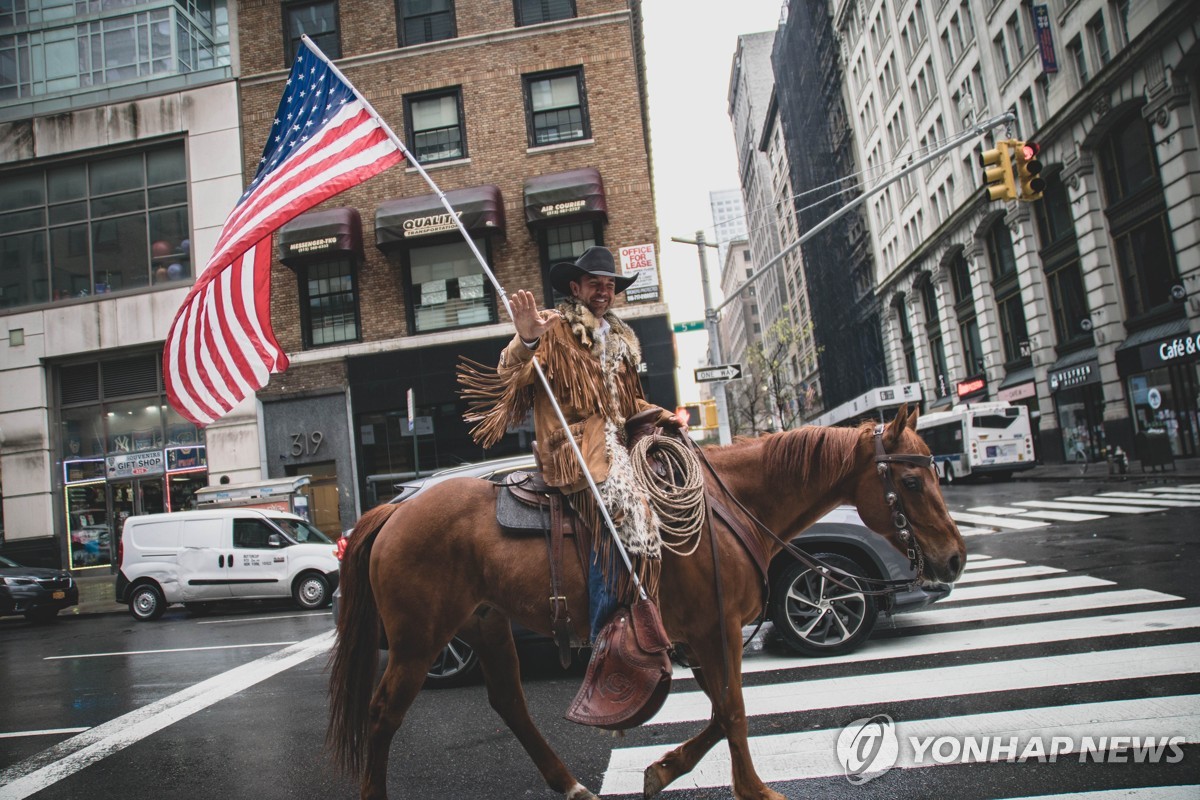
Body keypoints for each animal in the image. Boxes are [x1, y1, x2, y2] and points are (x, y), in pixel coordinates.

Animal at [328, 407, 964, 800]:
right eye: (911, 483)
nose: (955, 558)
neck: (732, 509)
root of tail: (394, 508)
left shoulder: (700, 637)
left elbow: (719, 711)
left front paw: (662, 770)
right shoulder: (718, 631)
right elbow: (734, 710)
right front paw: (754, 789)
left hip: (486, 624)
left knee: (509, 702)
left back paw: (571, 785)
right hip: (419, 640)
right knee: (383, 713)